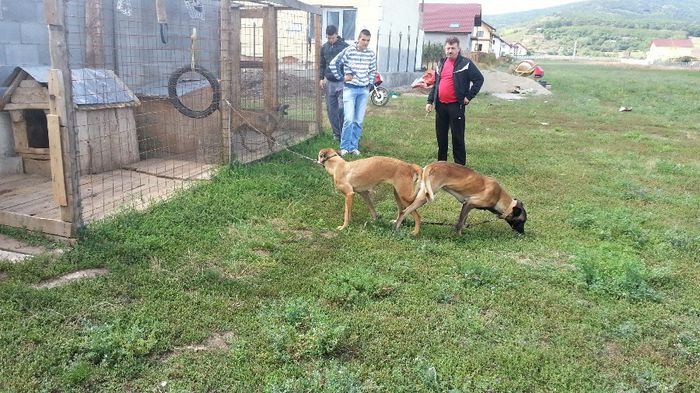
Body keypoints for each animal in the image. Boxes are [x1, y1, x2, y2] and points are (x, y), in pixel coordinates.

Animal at [396, 161, 528, 234]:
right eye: (522, 221)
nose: (523, 233)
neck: (499, 196)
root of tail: (431, 165)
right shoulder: (469, 203)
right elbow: (460, 223)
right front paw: (458, 235)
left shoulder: (466, 205)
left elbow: (463, 220)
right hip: (424, 197)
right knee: (405, 211)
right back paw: (397, 226)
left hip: (421, 193)